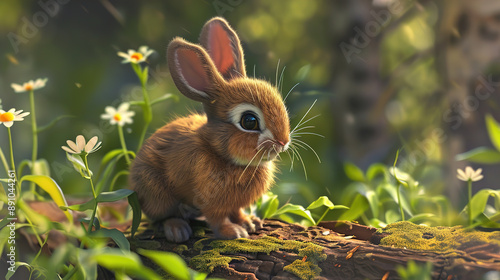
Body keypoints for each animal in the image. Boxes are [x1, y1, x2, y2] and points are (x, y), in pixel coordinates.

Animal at [131, 17, 292, 242]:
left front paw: (249, 222)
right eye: (249, 121)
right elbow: (217, 219)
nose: (283, 142)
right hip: (157, 194)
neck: (219, 151)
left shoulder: (234, 204)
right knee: (163, 217)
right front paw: (234, 232)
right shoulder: (210, 201)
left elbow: (237, 211)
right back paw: (177, 230)